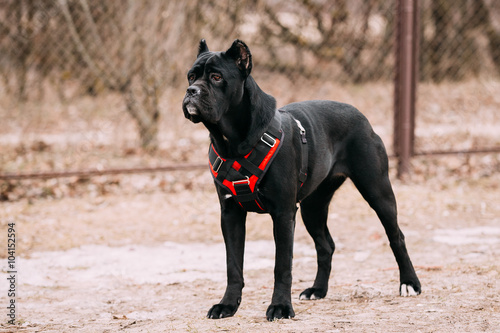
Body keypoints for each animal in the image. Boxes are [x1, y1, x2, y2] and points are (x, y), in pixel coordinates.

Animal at [182, 39, 420, 320]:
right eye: (191, 76)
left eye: (216, 77)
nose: (191, 90)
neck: (232, 142)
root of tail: (361, 116)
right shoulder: (230, 214)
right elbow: (233, 265)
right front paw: (228, 305)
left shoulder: (284, 214)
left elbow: (282, 265)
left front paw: (280, 307)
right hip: (312, 207)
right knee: (326, 246)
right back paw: (318, 289)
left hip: (377, 191)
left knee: (397, 236)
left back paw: (409, 283)